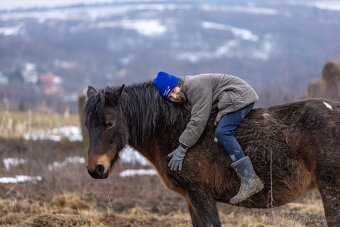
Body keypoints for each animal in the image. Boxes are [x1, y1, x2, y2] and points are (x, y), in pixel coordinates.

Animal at [83, 82, 338, 227]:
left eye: (109, 123)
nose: (95, 169)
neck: (176, 130)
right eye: (86, 124)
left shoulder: (200, 194)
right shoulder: (190, 198)